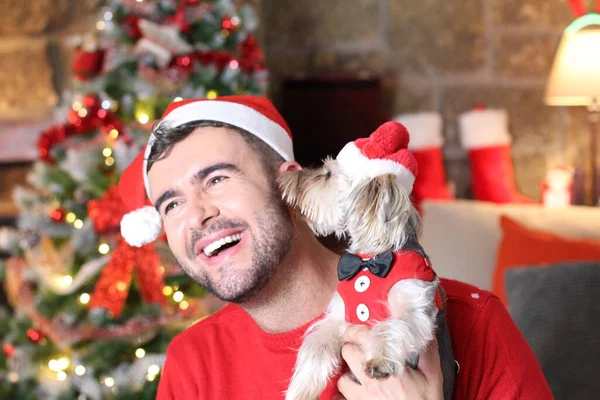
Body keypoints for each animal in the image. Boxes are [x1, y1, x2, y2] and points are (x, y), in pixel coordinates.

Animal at [278, 121, 452, 400]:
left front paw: (380, 361)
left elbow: (393, 326)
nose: (284, 176)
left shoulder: (416, 309)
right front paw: (300, 390)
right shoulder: (338, 318)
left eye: (328, 174)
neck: (369, 261)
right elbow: (315, 345)